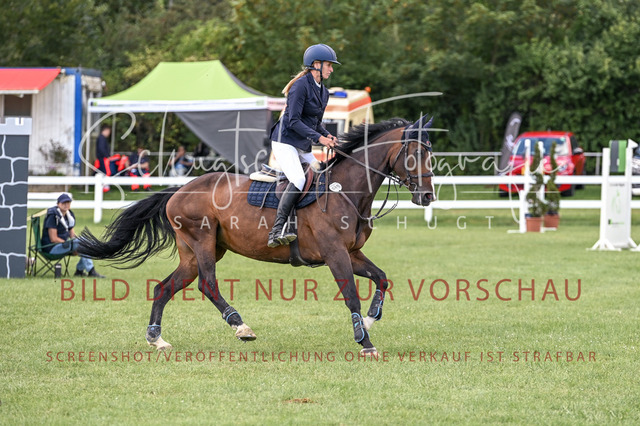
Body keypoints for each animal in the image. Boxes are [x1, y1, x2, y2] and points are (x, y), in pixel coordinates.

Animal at [78, 115, 436, 356]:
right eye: (414, 154)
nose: (428, 197)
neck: (344, 190)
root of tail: (179, 190)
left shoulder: (352, 253)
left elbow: (382, 278)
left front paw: (371, 321)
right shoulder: (335, 254)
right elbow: (351, 295)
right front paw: (365, 341)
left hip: (197, 251)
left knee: (165, 287)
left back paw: (157, 339)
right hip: (202, 242)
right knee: (208, 284)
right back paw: (241, 327)